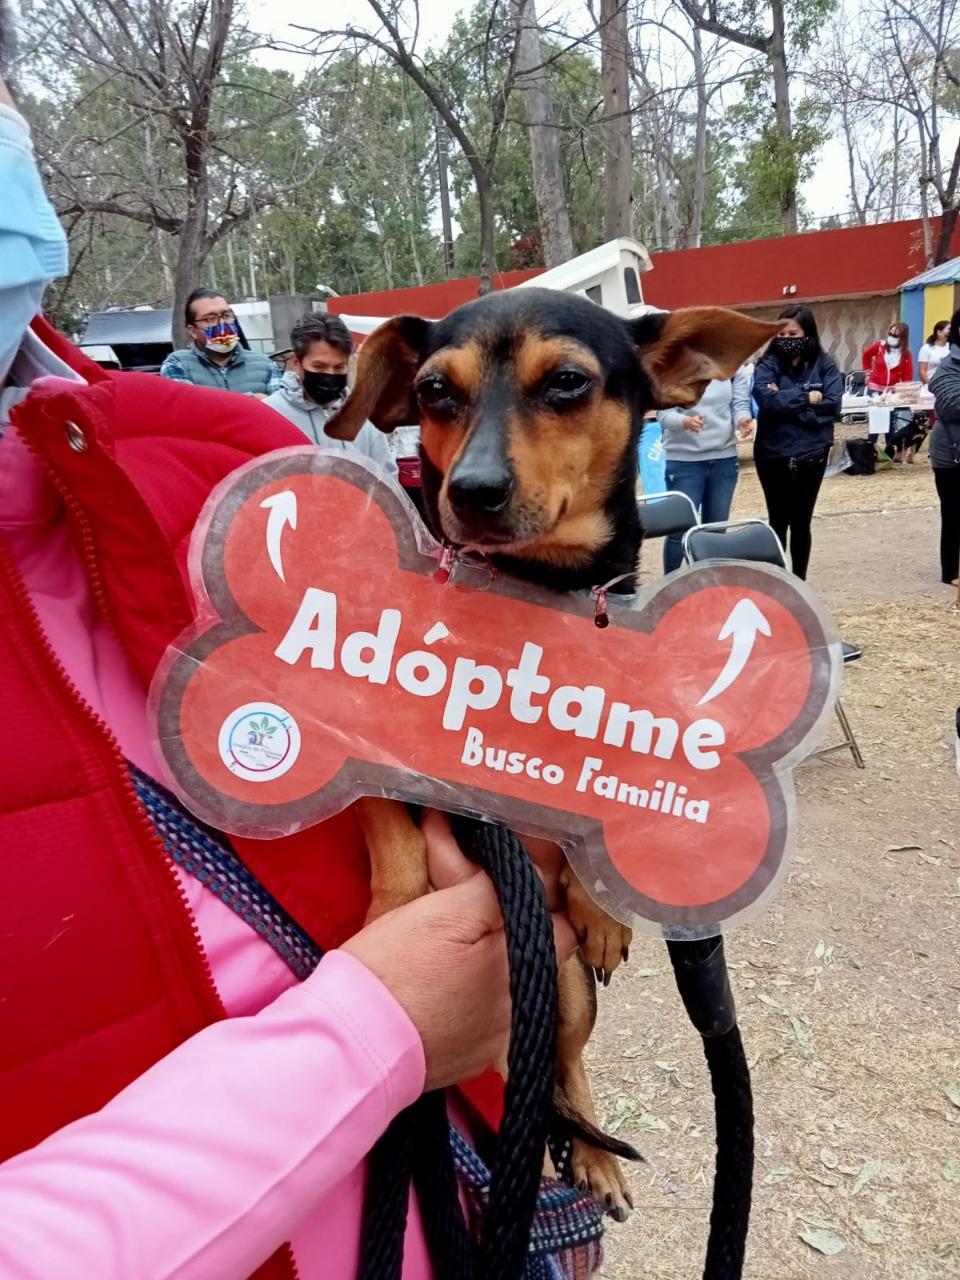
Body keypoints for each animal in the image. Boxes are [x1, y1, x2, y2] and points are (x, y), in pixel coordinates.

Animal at [330, 288, 783, 1218]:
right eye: (434, 392)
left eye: (568, 382)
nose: (470, 491)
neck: (532, 601)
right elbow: (390, 835)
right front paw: (395, 910)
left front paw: (604, 908)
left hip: (565, 993)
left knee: (563, 1068)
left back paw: (594, 1160)